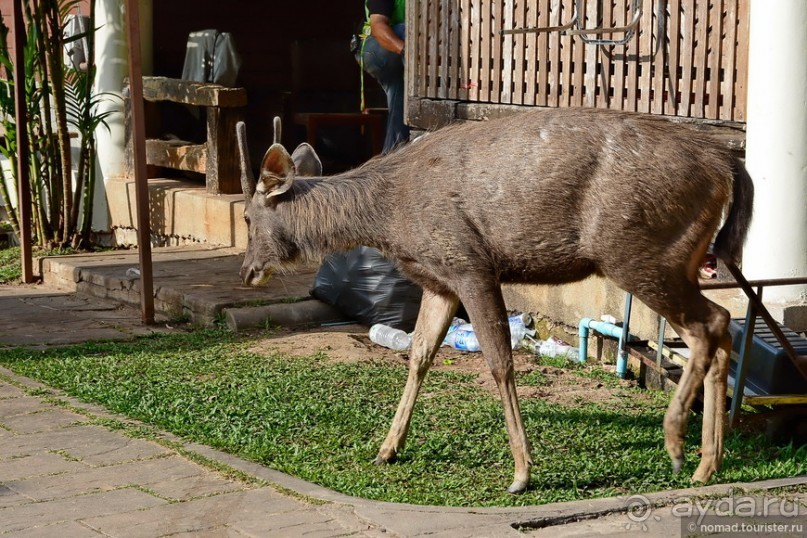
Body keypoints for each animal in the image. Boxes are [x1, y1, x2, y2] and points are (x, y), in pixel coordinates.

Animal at [237, 108, 756, 490]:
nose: (246, 271)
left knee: (709, 324)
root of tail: (728, 165)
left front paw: (522, 472)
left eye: (245, 216)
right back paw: (710, 461)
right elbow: (419, 355)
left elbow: (499, 360)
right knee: (723, 325)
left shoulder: (469, 264)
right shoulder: (440, 280)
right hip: (679, 259)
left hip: (638, 253)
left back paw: (678, 446)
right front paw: (386, 449)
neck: (388, 218)